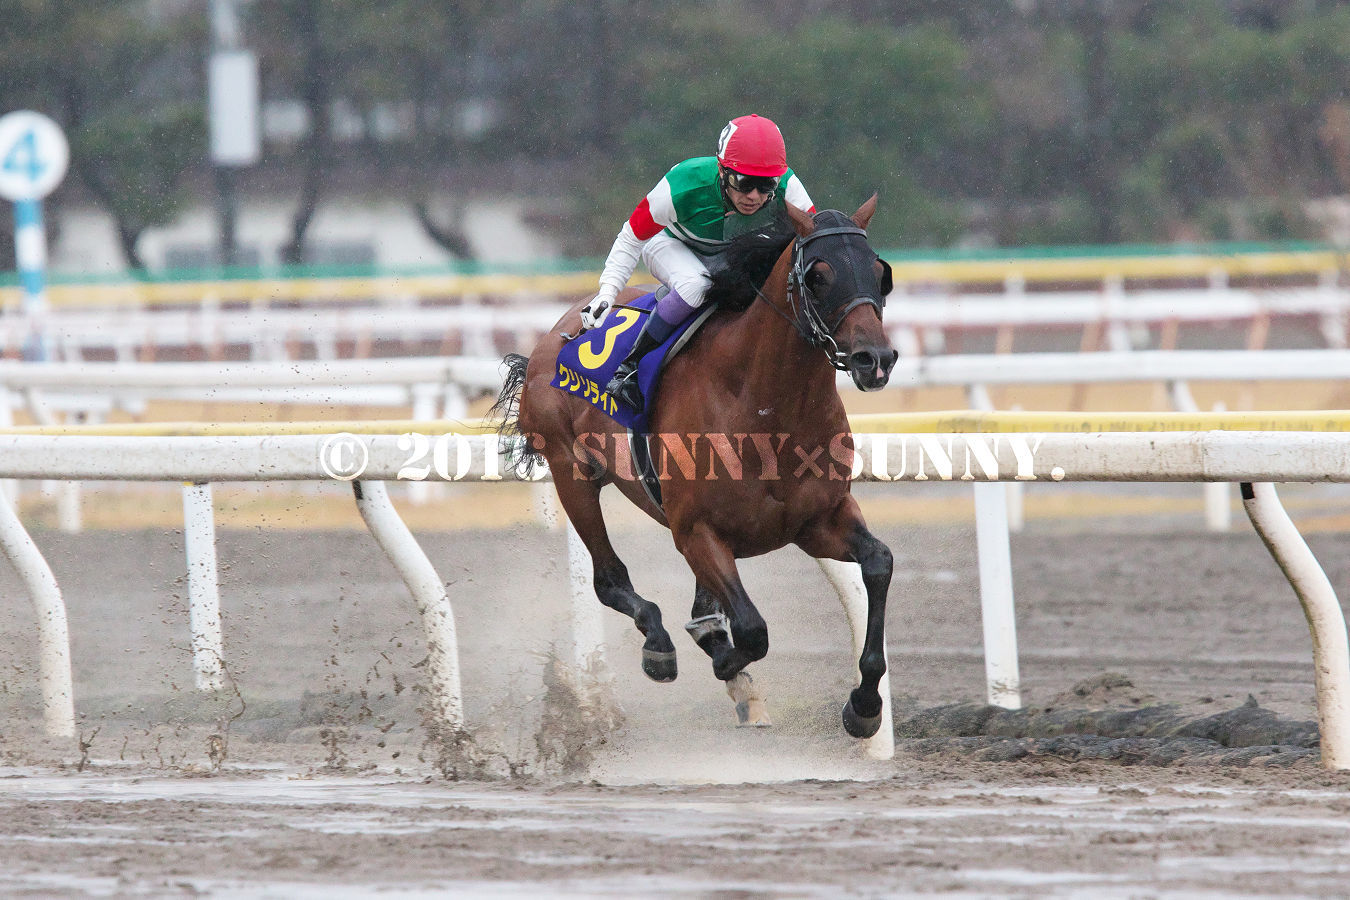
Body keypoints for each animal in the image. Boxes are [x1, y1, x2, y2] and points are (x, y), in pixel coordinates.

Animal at [494, 201, 896, 744]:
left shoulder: (817, 521)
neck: (763, 403)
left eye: (879, 271)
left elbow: (878, 563)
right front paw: (724, 661)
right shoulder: (697, 530)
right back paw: (660, 644)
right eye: (819, 275)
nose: (875, 359)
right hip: (571, 472)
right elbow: (751, 630)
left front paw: (865, 704)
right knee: (609, 578)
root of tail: (556, 331)